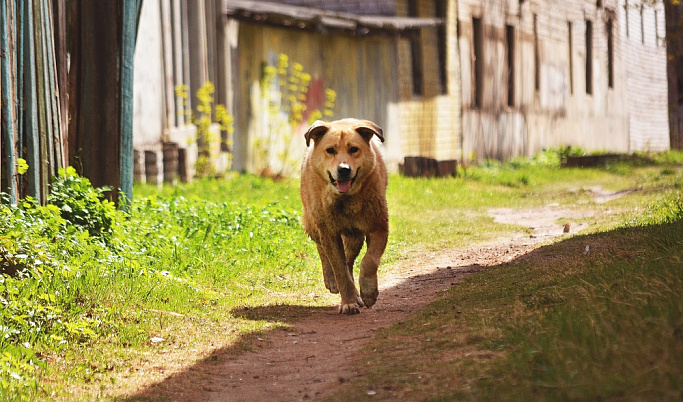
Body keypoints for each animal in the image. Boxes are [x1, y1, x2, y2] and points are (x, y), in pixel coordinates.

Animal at [300, 118, 390, 314]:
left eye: (353, 149)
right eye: (330, 150)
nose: (343, 170)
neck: (344, 200)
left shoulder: (378, 227)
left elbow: (369, 261)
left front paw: (368, 293)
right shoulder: (328, 233)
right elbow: (339, 270)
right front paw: (348, 301)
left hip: (354, 236)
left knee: (349, 259)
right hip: (313, 222)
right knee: (323, 251)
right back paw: (331, 280)